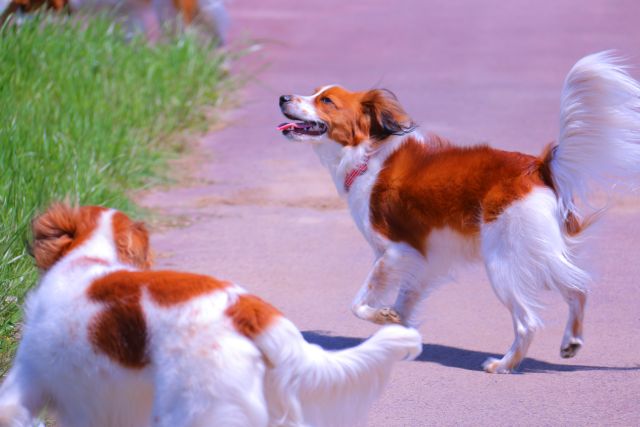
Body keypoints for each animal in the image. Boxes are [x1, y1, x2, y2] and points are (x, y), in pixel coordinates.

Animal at [278, 51, 640, 374]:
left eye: (326, 101)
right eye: (314, 92)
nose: (282, 97)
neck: (367, 152)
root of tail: (537, 167)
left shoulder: (394, 252)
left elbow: (359, 304)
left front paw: (382, 317)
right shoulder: (424, 259)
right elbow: (403, 307)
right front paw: (398, 336)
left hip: (503, 262)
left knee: (528, 321)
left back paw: (504, 365)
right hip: (537, 252)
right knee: (578, 289)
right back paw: (570, 343)